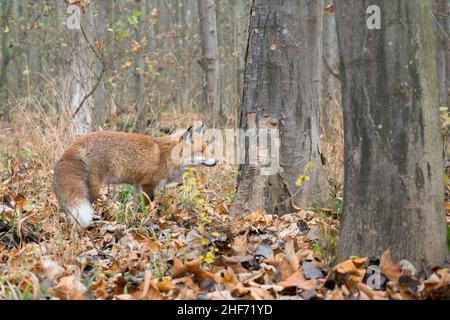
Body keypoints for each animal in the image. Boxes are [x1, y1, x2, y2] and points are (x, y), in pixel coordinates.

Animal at [52, 124, 218, 228]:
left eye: (207, 148)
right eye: (202, 150)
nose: (217, 161)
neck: (165, 156)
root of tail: (75, 144)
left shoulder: (138, 185)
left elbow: (136, 206)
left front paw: (135, 219)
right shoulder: (148, 185)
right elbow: (146, 207)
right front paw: (145, 220)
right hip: (93, 189)